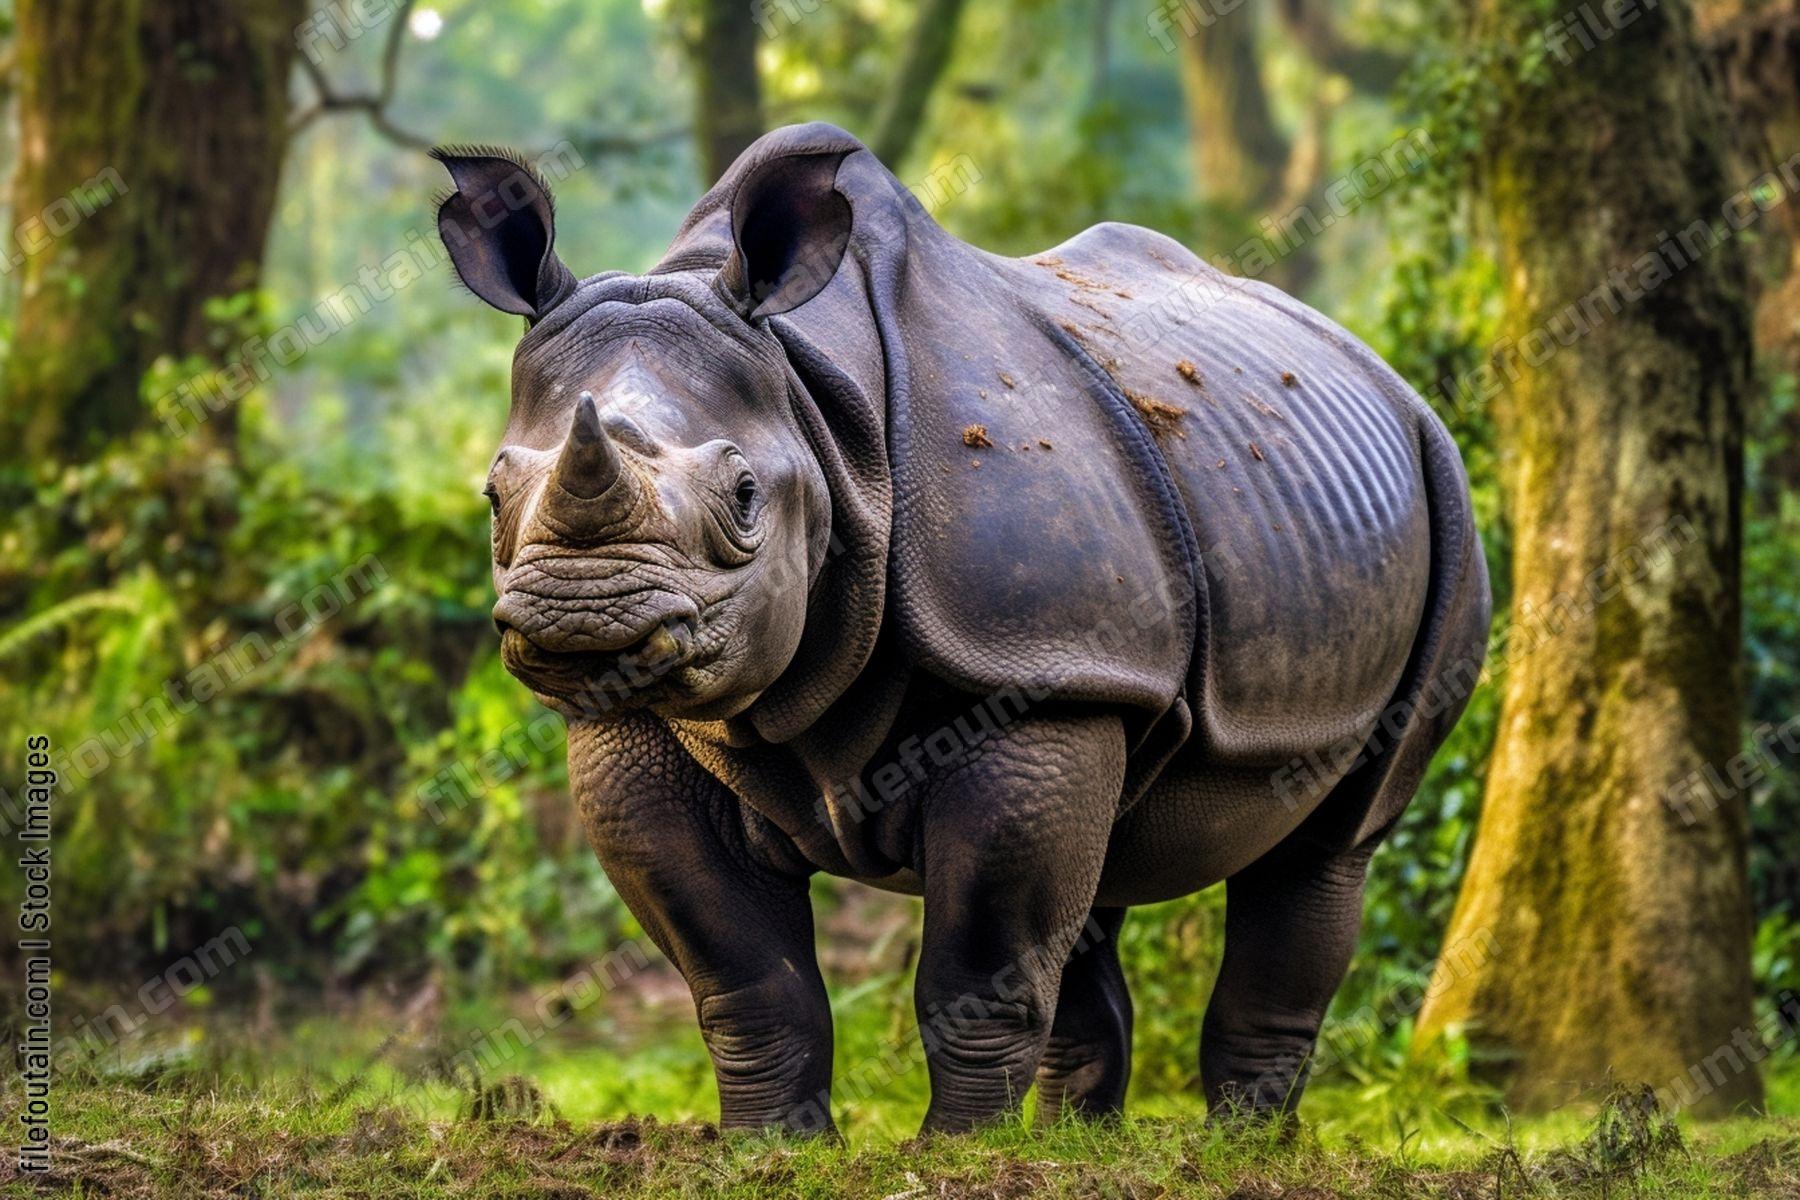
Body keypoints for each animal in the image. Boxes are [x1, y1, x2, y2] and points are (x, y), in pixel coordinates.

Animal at [433, 123, 1490, 1135]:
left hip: (1441, 504)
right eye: (493, 495)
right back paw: (1078, 1146)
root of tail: (1380, 373)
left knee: (1331, 843)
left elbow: (979, 964)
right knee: (1099, 867)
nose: (583, 616)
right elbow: (743, 976)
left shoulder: (1038, 669)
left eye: (743, 498)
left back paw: (1239, 1147)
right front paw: (771, 1149)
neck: (818, 408)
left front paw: (958, 1150)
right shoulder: (632, 719)